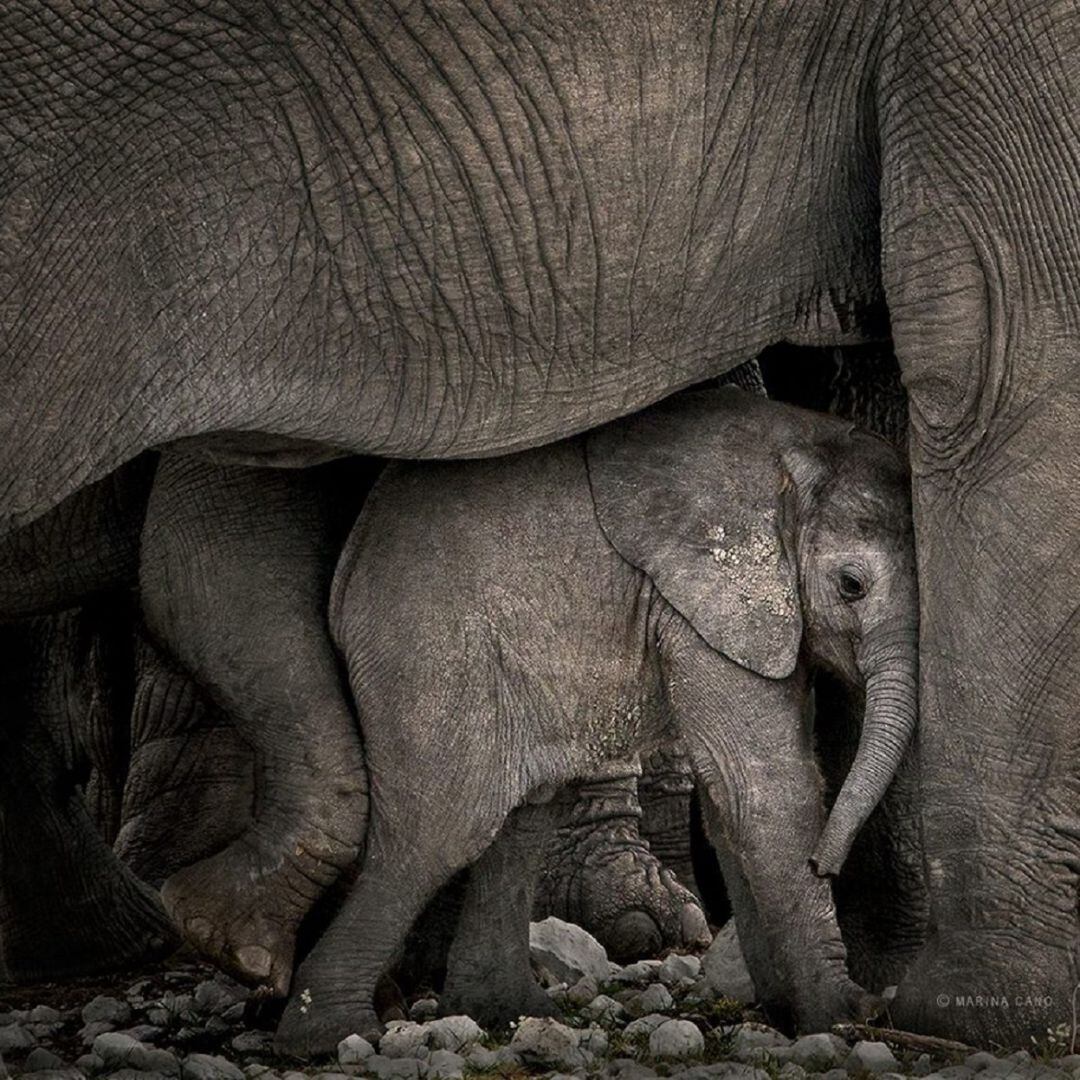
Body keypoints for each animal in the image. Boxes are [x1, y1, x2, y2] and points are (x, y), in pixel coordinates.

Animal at [274, 388, 915, 1054]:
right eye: (851, 585)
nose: (826, 863)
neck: (799, 455)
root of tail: (345, 576)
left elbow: (730, 800)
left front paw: (787, 1012)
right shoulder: (708, 603)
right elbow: (761, 789)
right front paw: (840, 1018)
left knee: (526, 813)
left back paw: (504, 1011)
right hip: (431, 651)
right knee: (444, 826)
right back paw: (328, 1033)